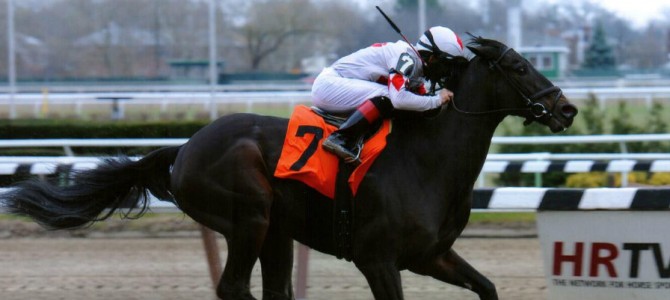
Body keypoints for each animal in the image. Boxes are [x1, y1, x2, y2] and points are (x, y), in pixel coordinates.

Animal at [0, 37, 576, 300]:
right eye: (519, 65)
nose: (566, 109)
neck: (426, 162)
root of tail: (183, 149)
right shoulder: (377, 259)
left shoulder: (430, 255)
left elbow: (488, 287)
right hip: (248, 217)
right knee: (234, 287)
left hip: (275, 229)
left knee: (272, 290)